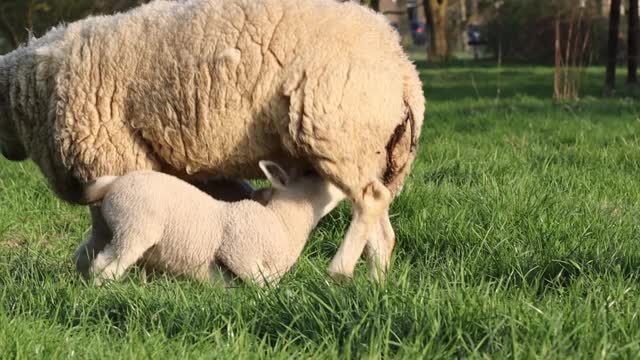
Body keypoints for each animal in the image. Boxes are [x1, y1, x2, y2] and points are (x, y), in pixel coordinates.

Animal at [74, 161, 390, 286]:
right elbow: (265, 287)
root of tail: (114, 183)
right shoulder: (240, 254)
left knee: (88, 257)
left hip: (109, 229)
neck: (282, 223)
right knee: (106, 268)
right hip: (135, 229)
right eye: (313, 176)